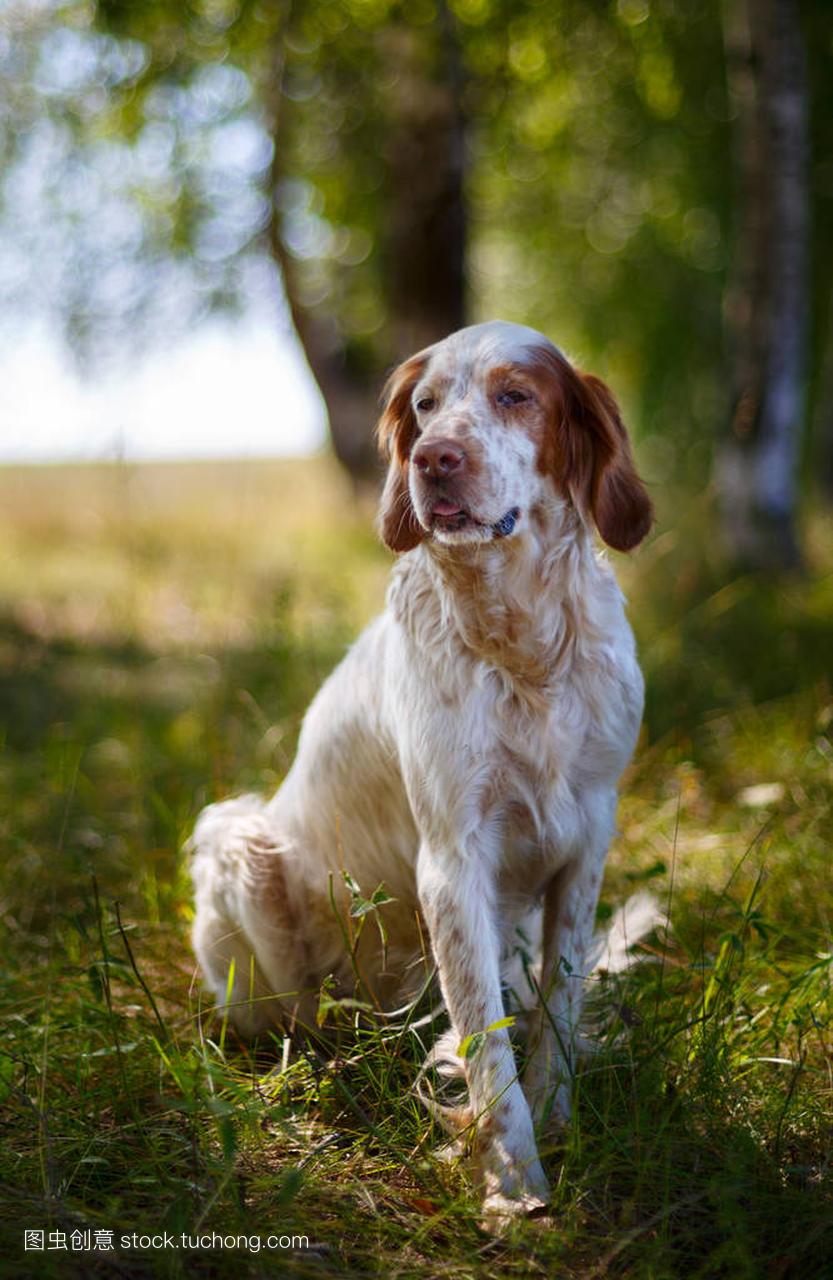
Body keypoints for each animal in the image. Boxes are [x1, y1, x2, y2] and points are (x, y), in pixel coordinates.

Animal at [191, 314, 655, 1223]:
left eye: (515, 396)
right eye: (425, 406)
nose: (433, 459)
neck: (521, 647)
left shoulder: (586, 839)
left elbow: (555, 1009)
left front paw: (556, 1123)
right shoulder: (451, 860)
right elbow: (485, 1042)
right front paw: (515, 1189)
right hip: (238, 840)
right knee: (298, 1020)